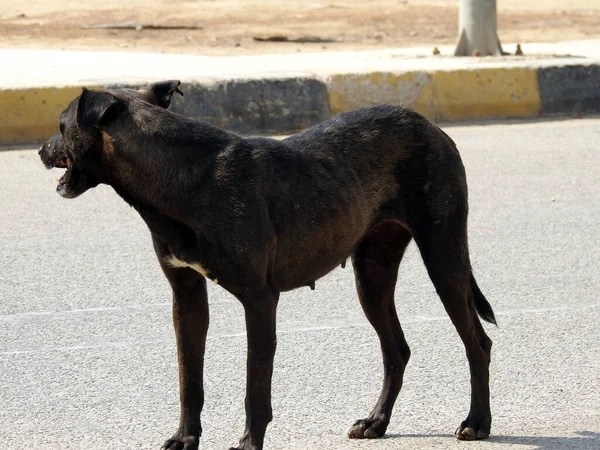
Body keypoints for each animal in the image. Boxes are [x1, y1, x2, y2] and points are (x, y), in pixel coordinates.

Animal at [38, 81, 496, 450]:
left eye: (61, 125)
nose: (42, 150)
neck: (178, 176)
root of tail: (428, 125)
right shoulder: (187, 297)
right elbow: (189, 379)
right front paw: (185, 437)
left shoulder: (259, 301)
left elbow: (255, 387)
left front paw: (248, 443)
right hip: (372, 276)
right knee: (396, 349)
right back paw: (376, 421)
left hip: (444, 260)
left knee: (477, 342)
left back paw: (477, 422)